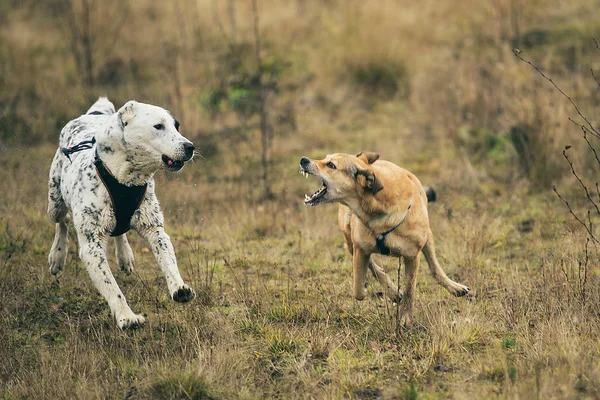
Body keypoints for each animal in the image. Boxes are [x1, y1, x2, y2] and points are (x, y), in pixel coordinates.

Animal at [48, 97, 197, 328]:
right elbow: (112, 287)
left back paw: (125, 256)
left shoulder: (155, 230)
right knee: (62, 221)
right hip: (54, 200)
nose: (190, 146)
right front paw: (127, 317)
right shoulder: (92, 246)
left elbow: (169, 262)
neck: (124, 179)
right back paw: (57, 255)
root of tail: (91, 115)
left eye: (177, 126)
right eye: (158, 126)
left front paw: (179, 288)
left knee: (120, 230)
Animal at [298, 152, 472, 324]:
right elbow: (359, 290)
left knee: (434, 267)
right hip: (349, 239)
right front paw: (390, 292)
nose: (303, 159)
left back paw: (455, 287)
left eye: (331, 165)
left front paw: (406, 317)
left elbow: (410, 289)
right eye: (325, 158)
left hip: (427, 236)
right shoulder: (360, 248)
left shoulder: (412, 256)